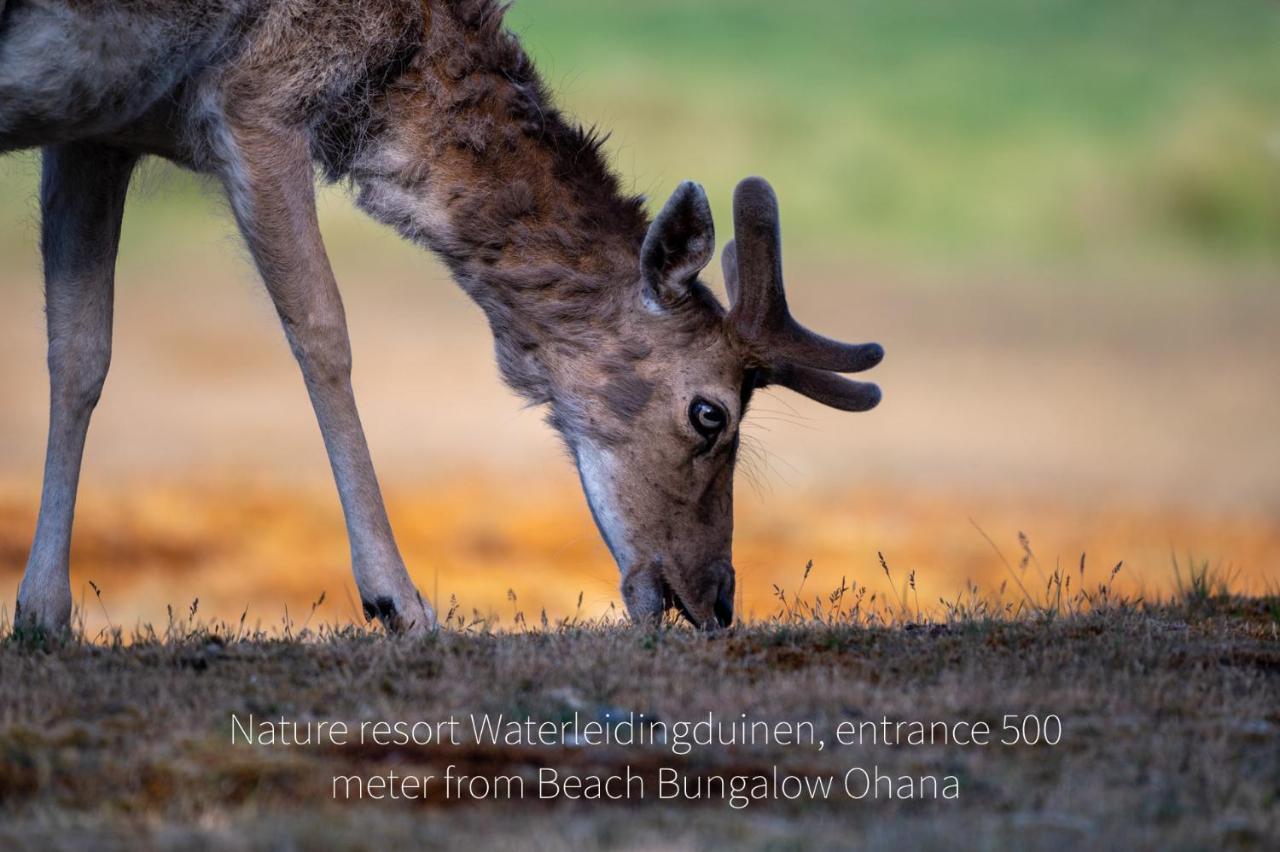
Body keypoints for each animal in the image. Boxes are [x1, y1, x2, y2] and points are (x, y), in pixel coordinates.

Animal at [2, 0, 880, 629]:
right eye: (710, 414)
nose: (718, 601)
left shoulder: (98, 127)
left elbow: (79, 350)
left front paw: (44, 614)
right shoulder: (257, 97)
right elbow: (323, 332)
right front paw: (398, 600)